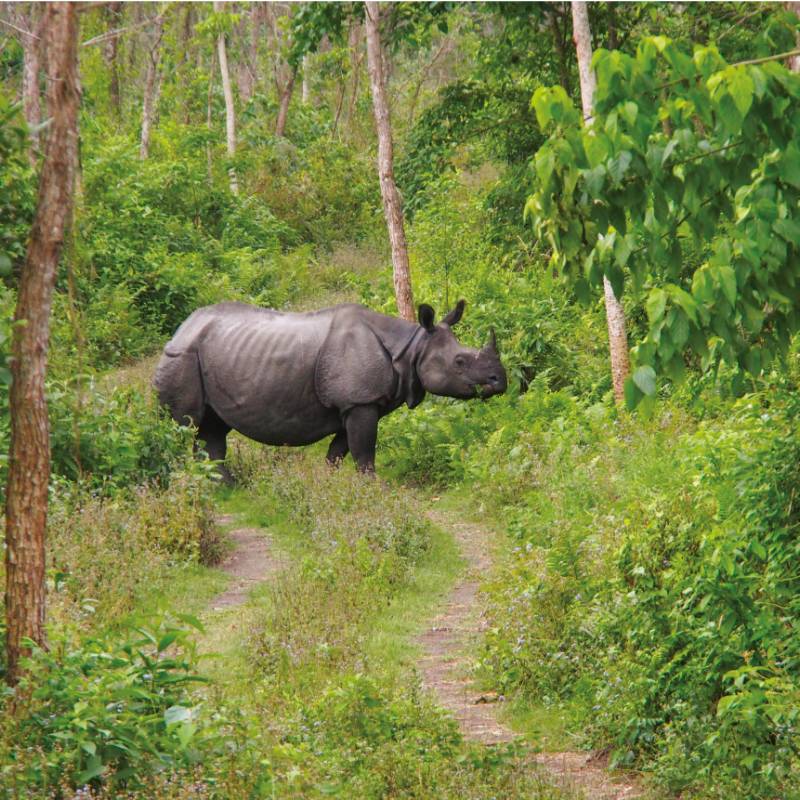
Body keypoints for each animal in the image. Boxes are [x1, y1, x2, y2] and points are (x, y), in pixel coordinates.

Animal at [154, 300, 506, 478]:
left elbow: (339, 452)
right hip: (181, 358)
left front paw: (331, 487)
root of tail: (180, 329)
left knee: (212, 429)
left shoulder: (356, 405)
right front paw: (372, 492)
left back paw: (224, 487)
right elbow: (364, 453)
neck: (412, 348)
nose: (500, 381)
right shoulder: (360, 402)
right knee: (185, 426)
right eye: (460, 361)